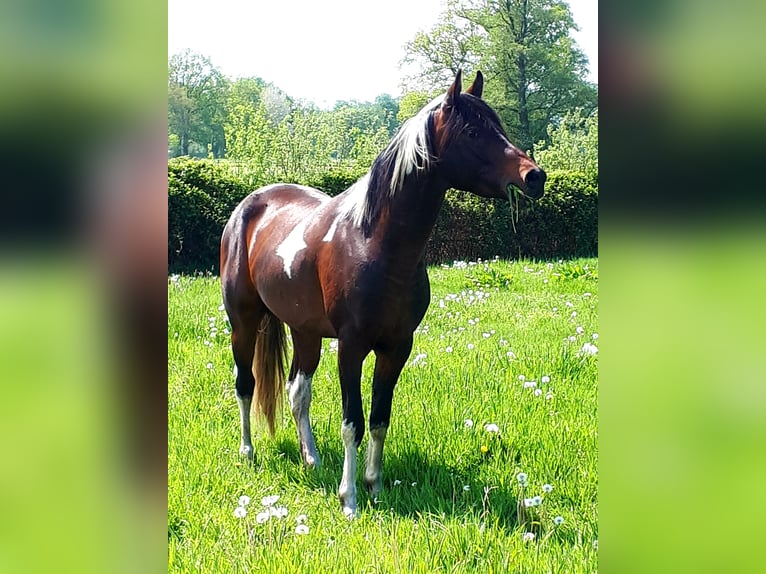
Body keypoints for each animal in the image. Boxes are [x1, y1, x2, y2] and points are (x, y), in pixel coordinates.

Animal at [220, 70, 546, 517]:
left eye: (499, 125)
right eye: (473, 131)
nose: (534, 176)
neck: (374, 243)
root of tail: (249, 205)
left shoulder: (397, 347)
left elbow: (379, 418)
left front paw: (373, 486)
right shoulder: (352, 347)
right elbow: (352, 423)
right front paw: (349, 499)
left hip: (305, 332)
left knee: (297, 391)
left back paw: (311, 458)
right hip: (244, 323)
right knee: (245, 384)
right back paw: (248, 452)